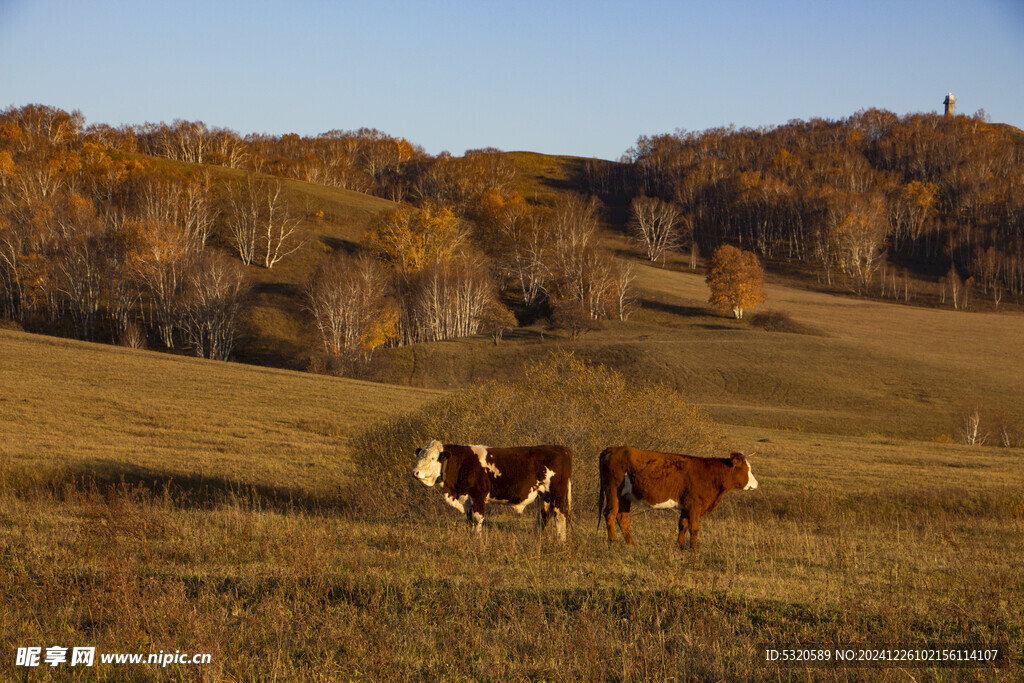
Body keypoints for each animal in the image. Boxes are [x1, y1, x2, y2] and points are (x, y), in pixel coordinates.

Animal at [411, 440, 573, 540]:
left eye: (433, 458)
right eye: (419, 456)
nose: (415, 472)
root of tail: (560, 448)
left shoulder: (478, 495)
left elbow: (477, 519)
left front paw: (477, 540)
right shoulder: (467, 500)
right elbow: (470, 520)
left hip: (557, 494)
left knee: (560, 516)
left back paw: (560, 541)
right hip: (543, 496)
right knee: (543, 516)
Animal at [598, 448, 757, 548]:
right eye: (747, 469)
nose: (756, 484)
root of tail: (612, 449)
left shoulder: (687, 506)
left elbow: (683, 525)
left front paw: (680, 546)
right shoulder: (694, 506)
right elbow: (694, 528)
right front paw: (694, 549)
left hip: (625, 497)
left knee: (622, 518)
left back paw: (631, 543)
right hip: (613, 491)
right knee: (610, 514)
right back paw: (613, 541)